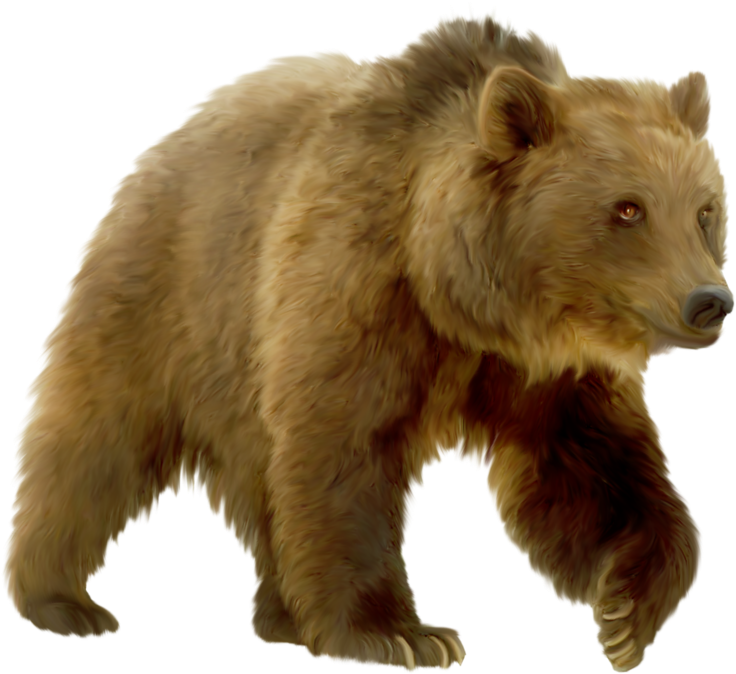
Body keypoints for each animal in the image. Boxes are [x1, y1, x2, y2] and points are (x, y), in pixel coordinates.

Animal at [3, 3, 732, 673]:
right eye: (627, 208)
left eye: (704, 209)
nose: (709, 301)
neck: (470, 300)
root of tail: (168, 136)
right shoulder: (358, 291)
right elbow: (342, 452)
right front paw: (401, 635)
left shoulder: (545, 373)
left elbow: (596, 469)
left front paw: (627, 612)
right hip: (173, 291)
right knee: (96, 436)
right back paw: (61, 601)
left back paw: (279, 615)